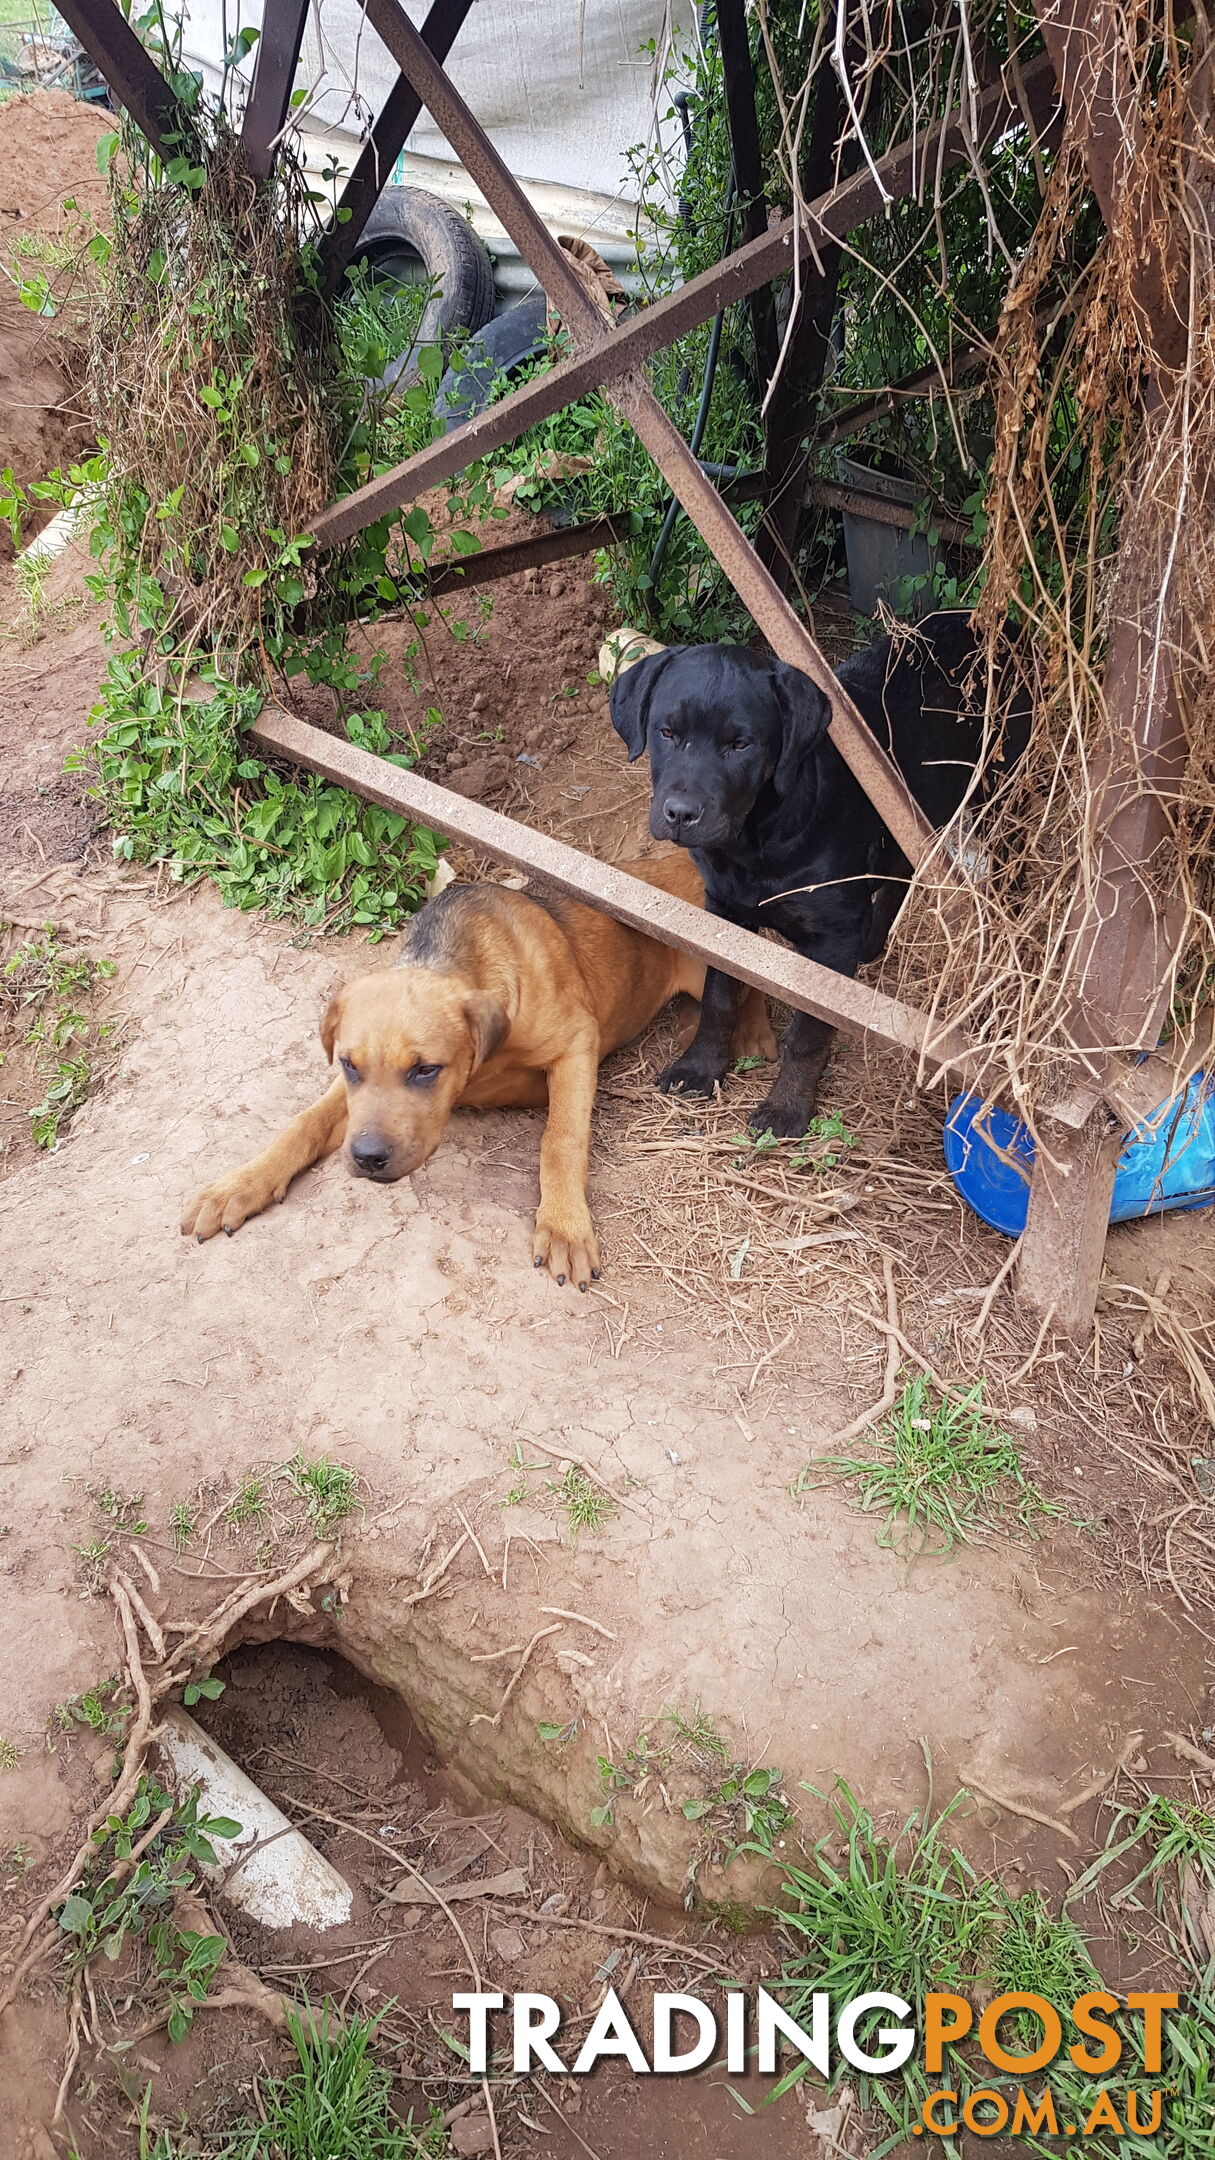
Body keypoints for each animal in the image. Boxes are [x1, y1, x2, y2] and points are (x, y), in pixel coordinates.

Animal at [181, 842, 765, 1287]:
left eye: (425, 1070)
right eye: (349, 1065)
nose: (368, 1158)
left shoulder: (577, 1043)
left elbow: (561, 1138)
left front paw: (564, 1227)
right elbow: (301, 1124)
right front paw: (240, 1185)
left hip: (714, 968)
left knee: (749, 987)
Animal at [609, 609, 1016, 1140]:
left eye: (740, 745)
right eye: (666, 732)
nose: (679, 814)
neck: (755, 840)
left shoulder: (829, 940)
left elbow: (808, 1032)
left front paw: (786, 1108)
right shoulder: (723, 911)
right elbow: (719, 996)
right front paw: (699, 1067)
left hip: (1000, 795)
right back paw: (873, 941)